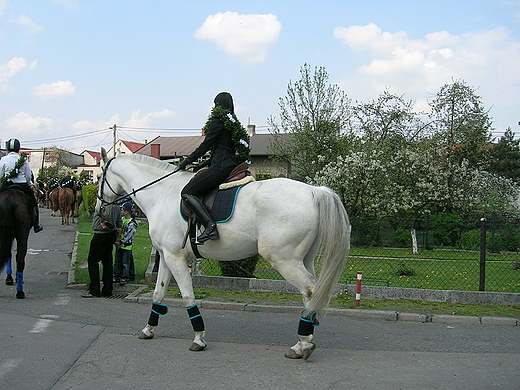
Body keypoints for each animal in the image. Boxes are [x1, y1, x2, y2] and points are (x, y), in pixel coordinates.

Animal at [95, 149, 352, 360]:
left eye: (98, 179)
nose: (100, 213)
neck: (162, 194)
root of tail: (314, 191)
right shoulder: (166, 257)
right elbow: (158, 294)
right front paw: (148, 330)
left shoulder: (175, 258)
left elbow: (187, 296)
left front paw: (198, 338)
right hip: (303, 259)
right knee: (310, 293)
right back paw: (303, 340)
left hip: (284, 259)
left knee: (310, 290)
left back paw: (303, 344)